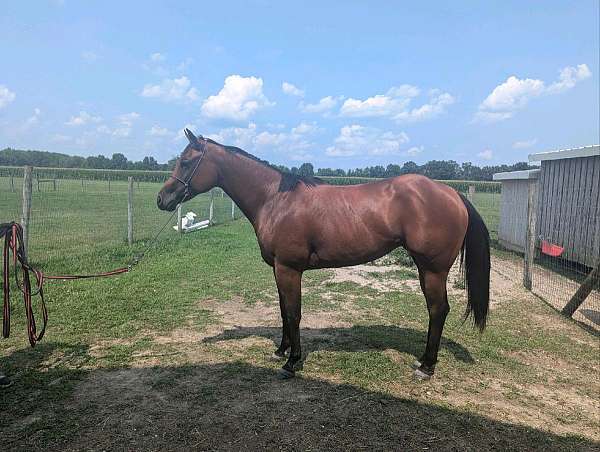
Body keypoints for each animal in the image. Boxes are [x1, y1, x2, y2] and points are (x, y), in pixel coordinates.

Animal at [157, 129, 490, 380]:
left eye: (186, 162)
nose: (163, 199)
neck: (275, 199)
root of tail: (452, 192)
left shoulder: (289, 269)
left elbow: (293, 312)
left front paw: (292, 362)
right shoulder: (278, 269)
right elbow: (283, 311)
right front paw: (280, 350)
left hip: (432, 270)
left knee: (438, 310)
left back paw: (426, 366)